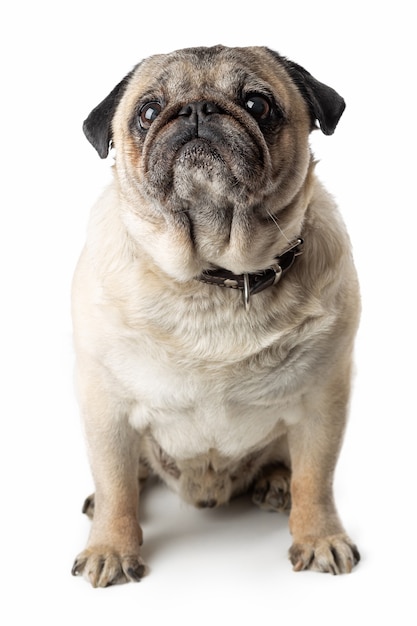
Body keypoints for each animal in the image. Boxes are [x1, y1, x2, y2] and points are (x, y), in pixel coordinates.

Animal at [70, 45, 360, 584]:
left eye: (257, 105)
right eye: (148, 111)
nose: (196, 110)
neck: (215, 277)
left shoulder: (323, 400)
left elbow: (316, 479)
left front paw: (320, 537)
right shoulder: (106, 405)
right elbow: (116, 483)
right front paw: (111, 548)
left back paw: (275, 481)